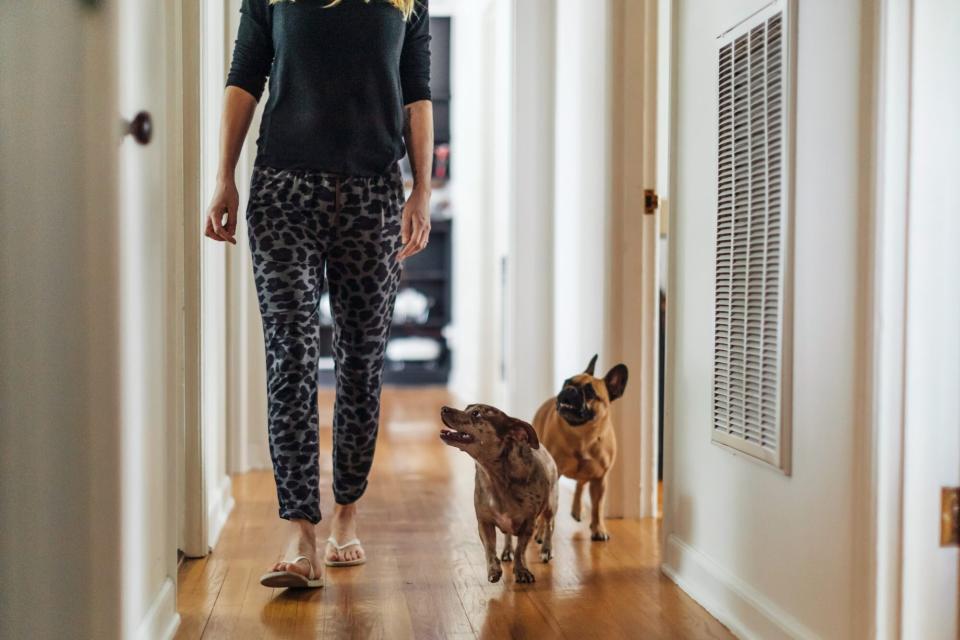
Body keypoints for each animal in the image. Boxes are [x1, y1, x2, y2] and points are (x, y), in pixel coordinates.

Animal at [438, 408, 560, 584]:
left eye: (476, 413)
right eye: (467, 408)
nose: (444, 408)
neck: (495, 477)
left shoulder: (528, 524)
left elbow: (520, 549)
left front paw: (521, 571)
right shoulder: (484, 522)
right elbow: (490, 548)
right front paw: (494, 569)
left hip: (550, 505)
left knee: (549, 525)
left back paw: (546, 550)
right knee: (508, 536)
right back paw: (507, 550)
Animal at [532, 356, 632, 540]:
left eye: (590, 393)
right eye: (566, 382)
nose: (570, 390)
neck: (582, 435)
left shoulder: (600, 479)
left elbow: (598, 507)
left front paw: (599, 529)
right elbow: (547, 510)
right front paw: (542, 531)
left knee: (581, 483)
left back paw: (577, 510)